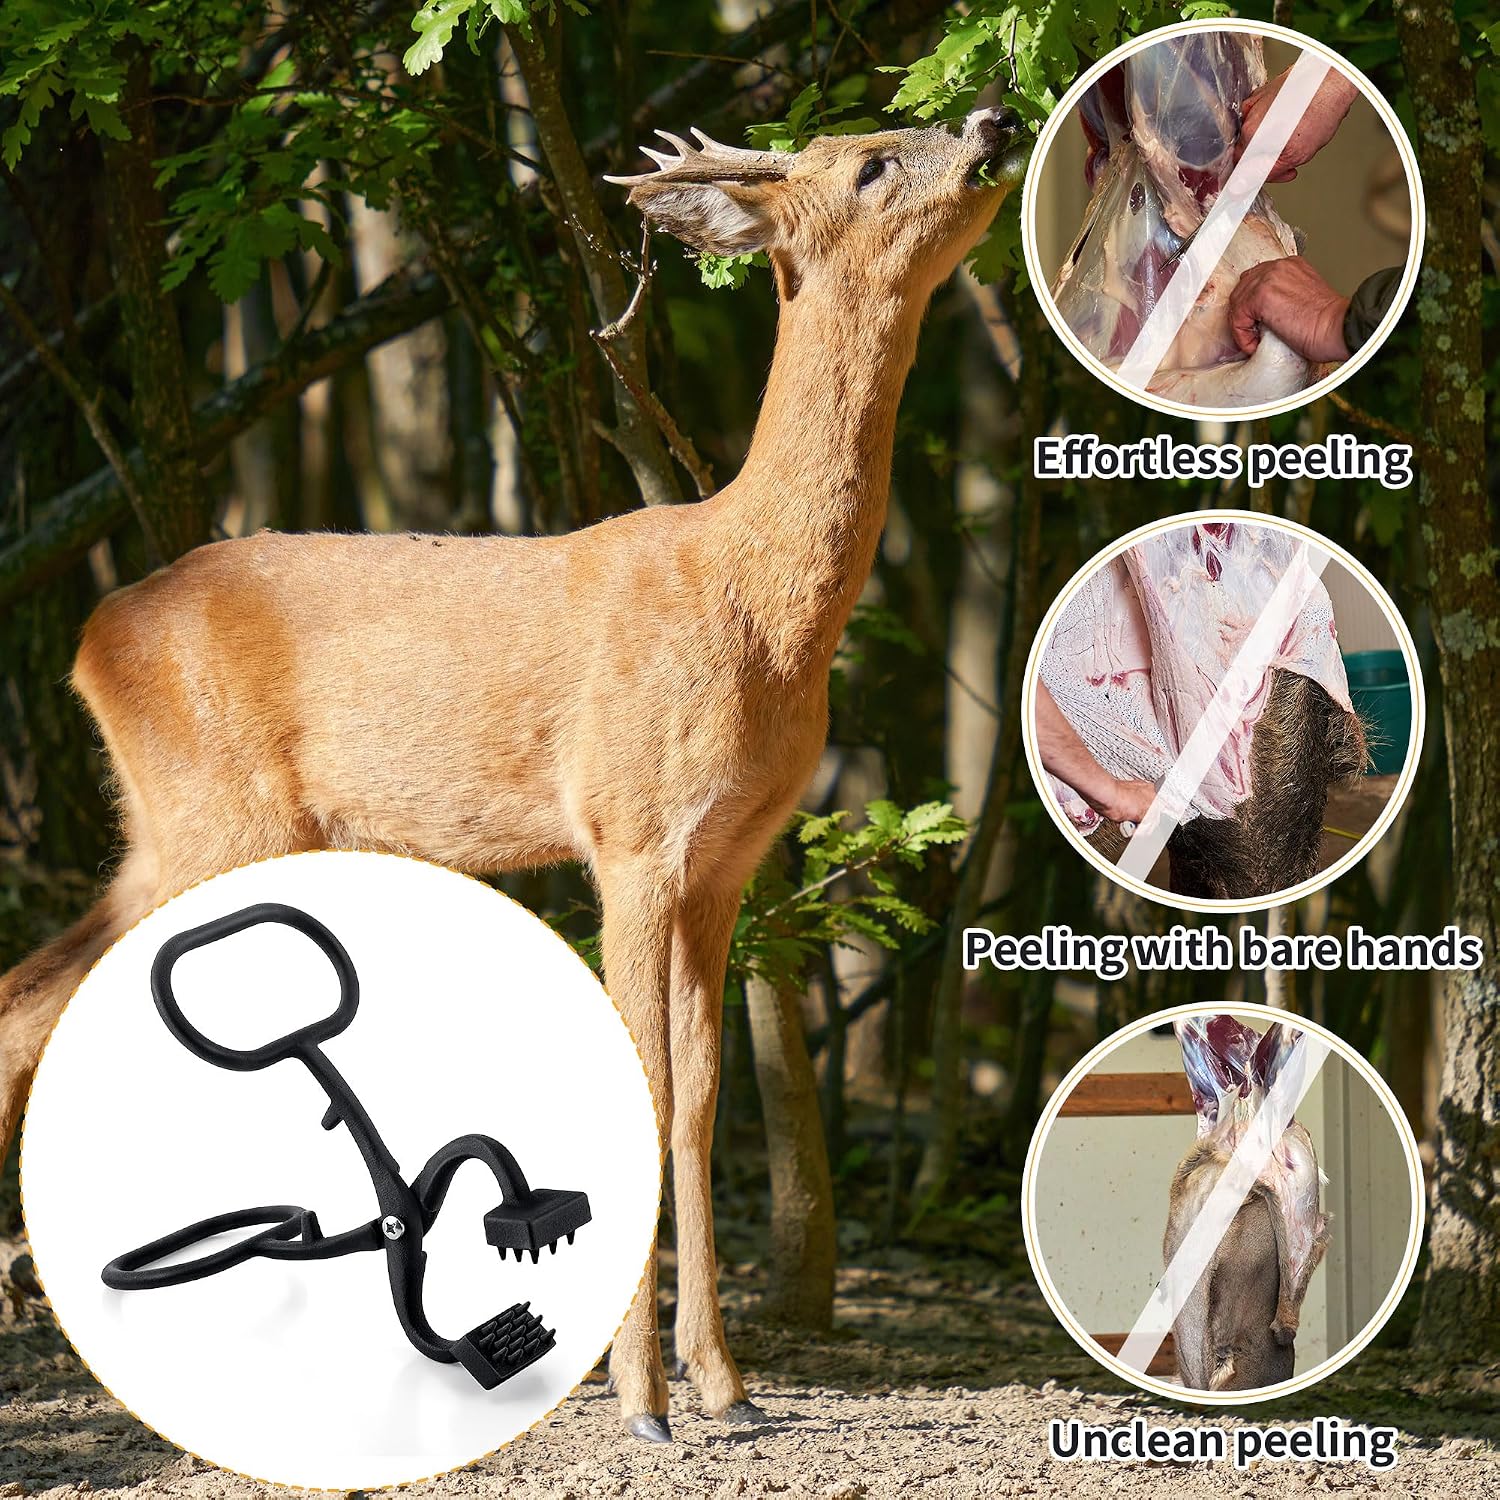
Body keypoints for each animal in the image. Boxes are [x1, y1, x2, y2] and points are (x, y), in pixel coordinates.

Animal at [0, 105, 1025, 1441]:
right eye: (870, 162)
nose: (995, 118)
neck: (751, 598)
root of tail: (87, 634)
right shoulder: (630, 828)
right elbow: (646, 1081)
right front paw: (640, 1398)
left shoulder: (726, 860)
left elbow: (705, 1097)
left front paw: (725, 1383)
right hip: (211, 814)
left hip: (174, 826)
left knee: (28, 993)